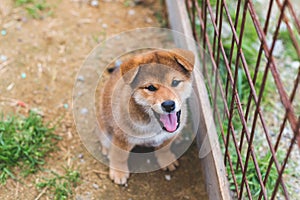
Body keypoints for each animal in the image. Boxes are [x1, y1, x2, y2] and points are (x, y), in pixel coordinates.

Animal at [98, 48, 195, 184]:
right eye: (151, 87)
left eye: (175, 82)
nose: (169, 105)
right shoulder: (122, 137)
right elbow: (119, 156)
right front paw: (118, 172)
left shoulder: (166, 137)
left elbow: (164, 149)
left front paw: (166, 160)